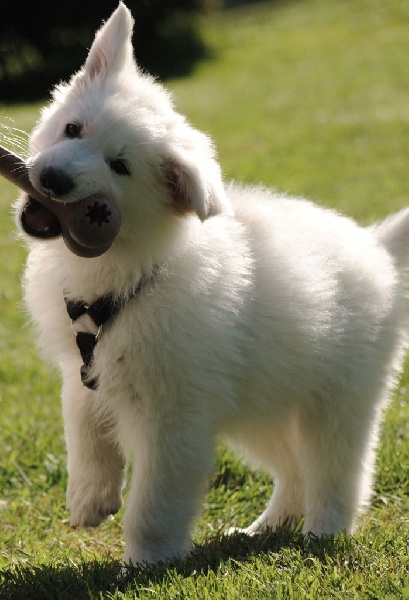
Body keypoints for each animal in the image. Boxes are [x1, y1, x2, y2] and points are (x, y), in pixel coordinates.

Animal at [18, 3, 408, 564]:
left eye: (120, 166)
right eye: (73, 128)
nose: (53, 181)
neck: (131, 271)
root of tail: (380, 248)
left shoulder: (177, 417)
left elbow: (156, 499)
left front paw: (147, 561)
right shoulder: (83, 371)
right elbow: (84, 430)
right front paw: (90, 500)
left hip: (340, 401)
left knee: (338, 472)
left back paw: (323, 532)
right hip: (261, 405)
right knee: (293, 471)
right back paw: (263, 529)